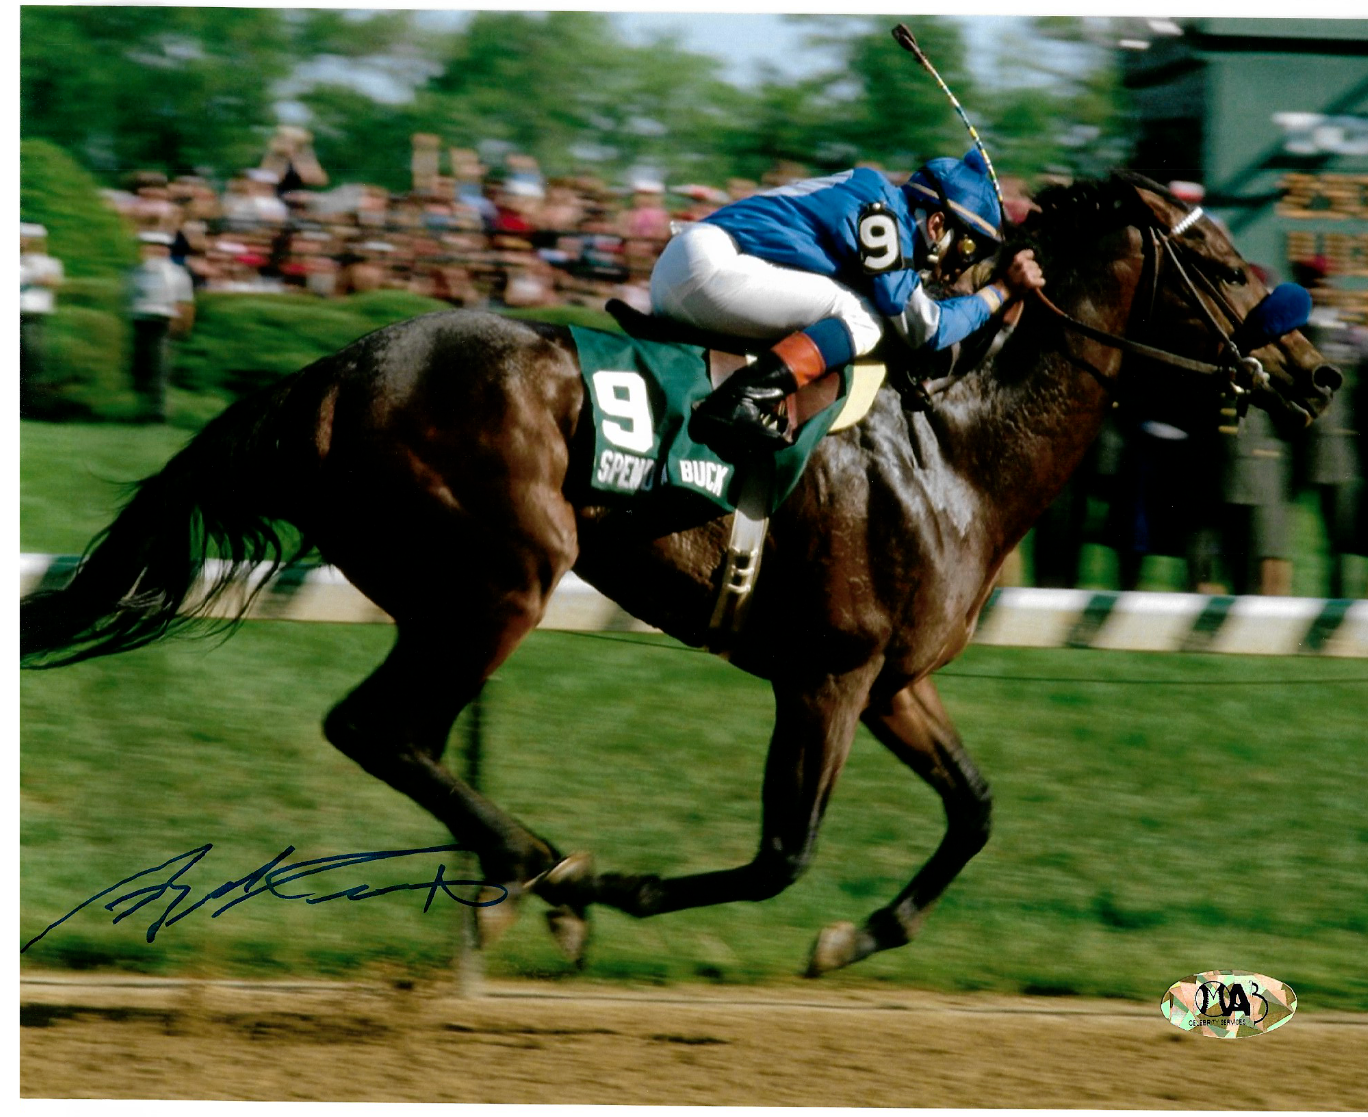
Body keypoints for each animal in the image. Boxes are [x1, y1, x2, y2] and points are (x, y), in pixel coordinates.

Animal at [21, 170, 1340, 973]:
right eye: (1224, 261)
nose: (1322, 373)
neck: (956, 444)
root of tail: (335, 370)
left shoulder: (893, 680)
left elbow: (972, 809)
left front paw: (859, 937)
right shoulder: (823, 675)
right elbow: (780, 854)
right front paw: (633, 892)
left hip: (438, 590)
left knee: (397, 732)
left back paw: (527, 868)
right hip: (506, 576)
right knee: (380, 727)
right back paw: (544, 867)